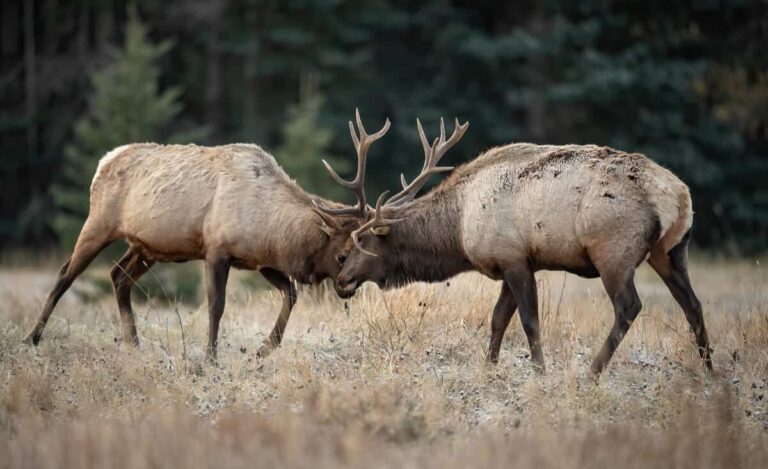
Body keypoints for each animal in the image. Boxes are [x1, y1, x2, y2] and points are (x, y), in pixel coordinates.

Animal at [24, 110, 390, 362]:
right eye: (342, 254)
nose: (348, 287)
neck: (272, 230)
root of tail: (104, 161)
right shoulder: (217, 250)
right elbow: (216, 305)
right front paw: (210, 358)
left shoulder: (260, 261)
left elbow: (290, 293)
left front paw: (264, 348)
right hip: (98, 222)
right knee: (65, 274)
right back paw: (32, 337)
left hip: (145, 246)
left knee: (118, 276)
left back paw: (134, 343)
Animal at [320, 117, 712, 372]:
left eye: (361, 239)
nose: (341, 280)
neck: (459, 228)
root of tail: (678, 195)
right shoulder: (509, 261)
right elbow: (498, 319)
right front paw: (488, 368)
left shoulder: (513, 259)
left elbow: (529, 320)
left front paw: (540, 371)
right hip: (672, 251)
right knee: (692, 305)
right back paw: (710, 371)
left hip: (613, 251)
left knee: (629, 306)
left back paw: (593, 371)